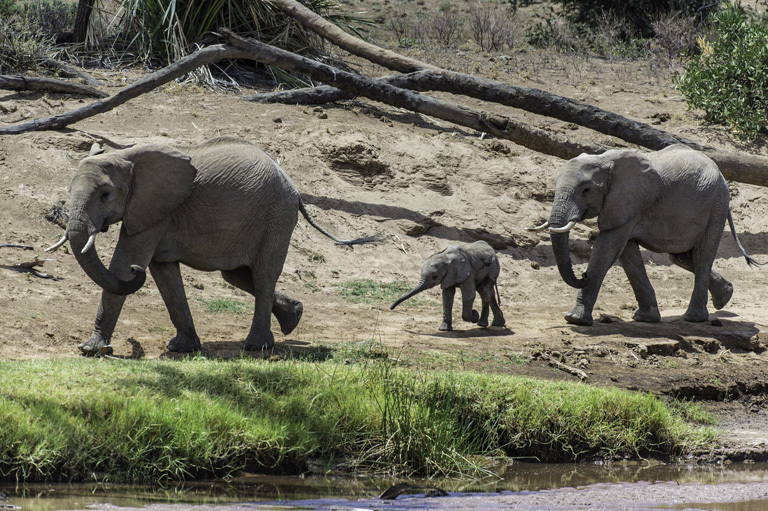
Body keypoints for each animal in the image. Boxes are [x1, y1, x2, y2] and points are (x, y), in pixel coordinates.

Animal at [46, 138, 376, 358]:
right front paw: (182, 348)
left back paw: (256, 346)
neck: (128, 157)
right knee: (238, 276)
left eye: (105, 194)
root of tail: (295, 188)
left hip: (276, 216)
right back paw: (293, 317)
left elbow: (122, 265)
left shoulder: (154, 211)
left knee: (264, 275)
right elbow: (163, 274)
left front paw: (90, 349)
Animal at [528, 143, 756, 328]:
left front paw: (575, 320)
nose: (582, 275)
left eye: (586, 190)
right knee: (681, 257)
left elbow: (607, 249)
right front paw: (645, 319)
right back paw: (725, 296)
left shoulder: (628, 202)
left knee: (702, 256)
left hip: (716, 206)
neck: (604, 161)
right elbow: (627, 254)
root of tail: (719, 171)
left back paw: (694, 318)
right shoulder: (625, 208)